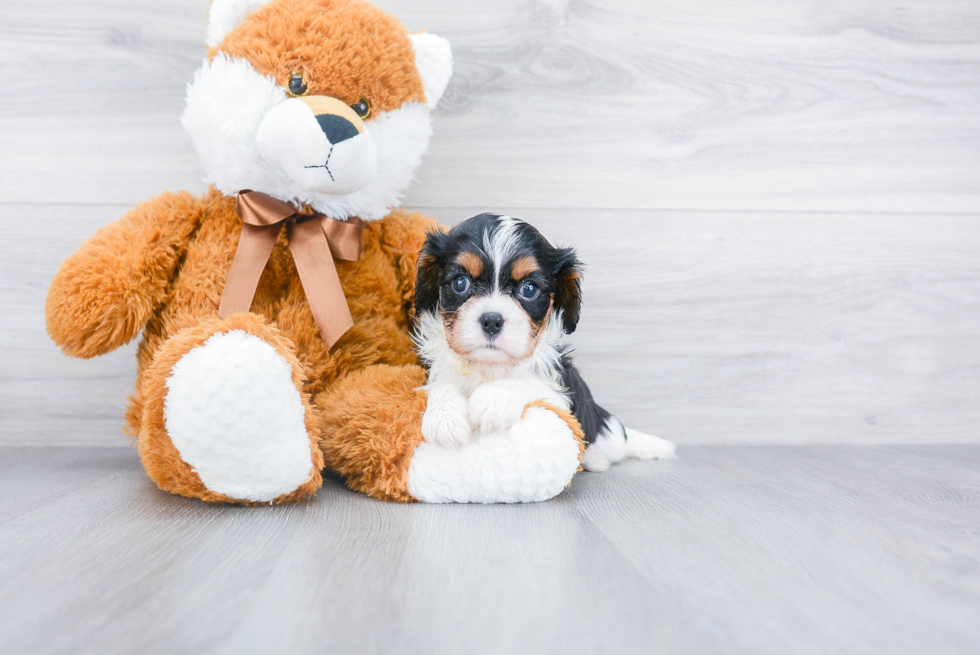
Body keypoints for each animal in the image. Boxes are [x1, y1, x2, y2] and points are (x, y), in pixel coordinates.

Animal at [412, 215, 672, 472]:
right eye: (460, 283)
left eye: (529, 289)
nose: (492, 320)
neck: (491, 367)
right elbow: (441, 384)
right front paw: (444, 418)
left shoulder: (564, 399)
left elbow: (530, 381)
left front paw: (494, 398)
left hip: (610, 435)